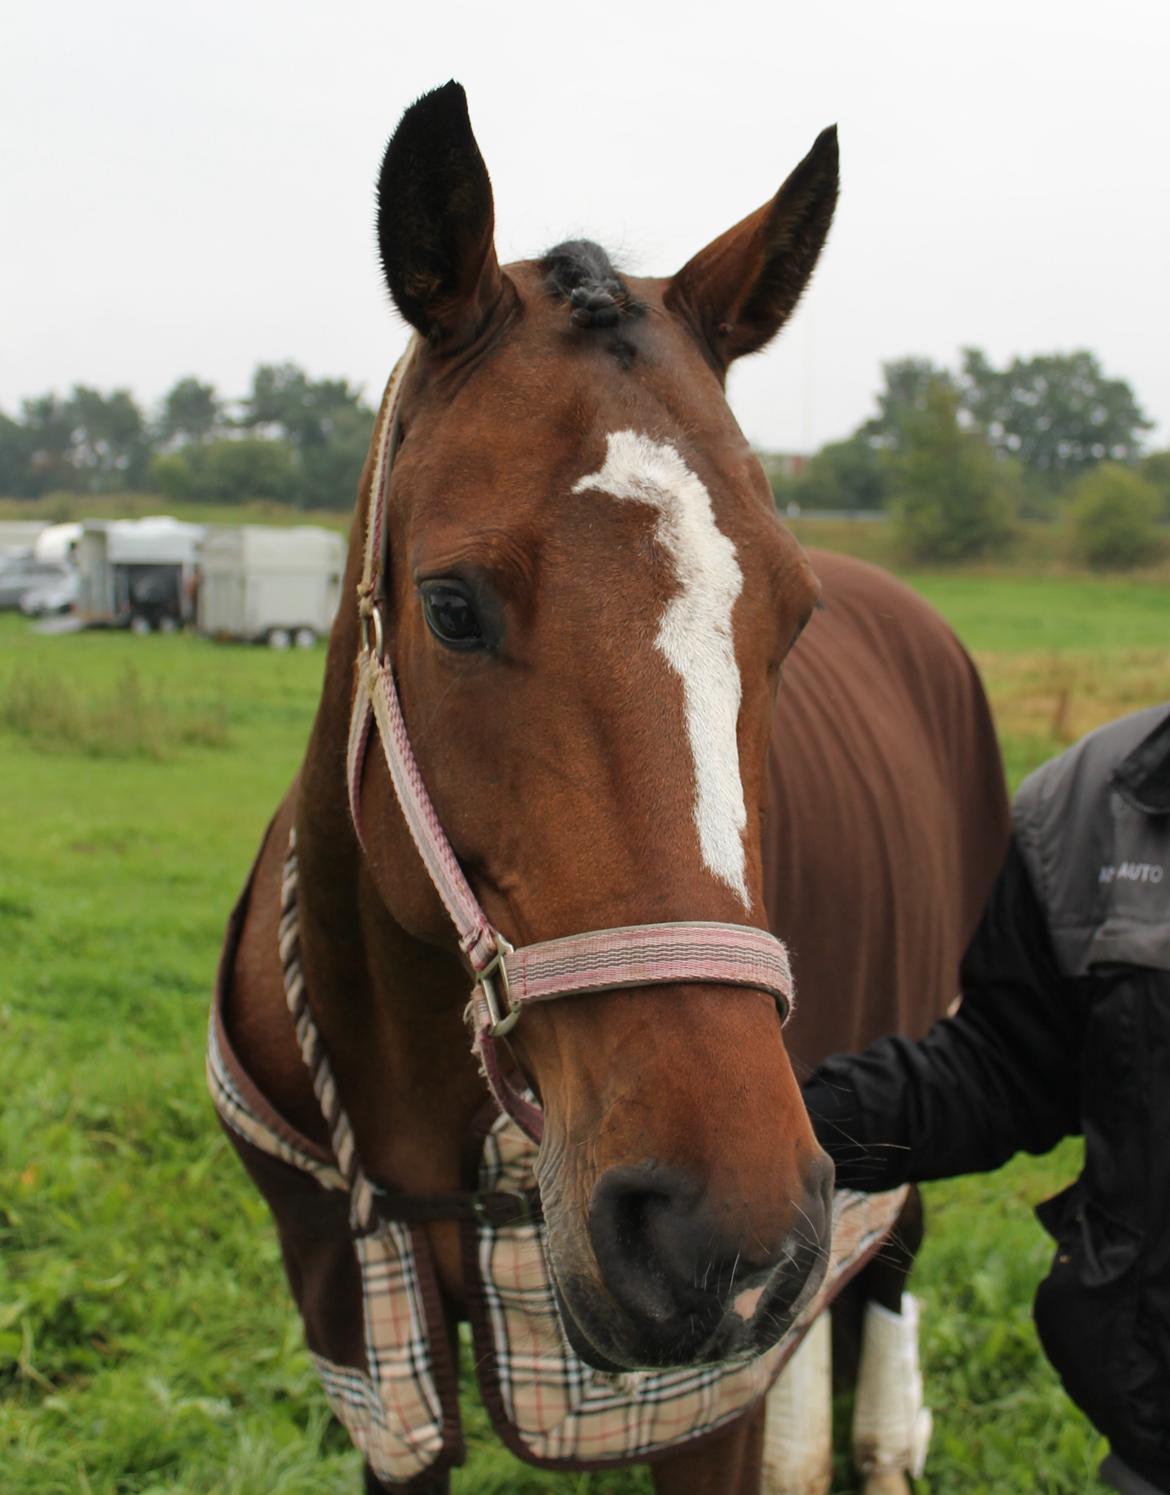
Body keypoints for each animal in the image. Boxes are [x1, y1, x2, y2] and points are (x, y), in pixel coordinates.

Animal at [212, 84, 1016, 1495]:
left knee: (890, 1257)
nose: (716, 1228)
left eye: (793, 618)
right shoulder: (370, 1358)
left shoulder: (706, 1397)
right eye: (451, 607)